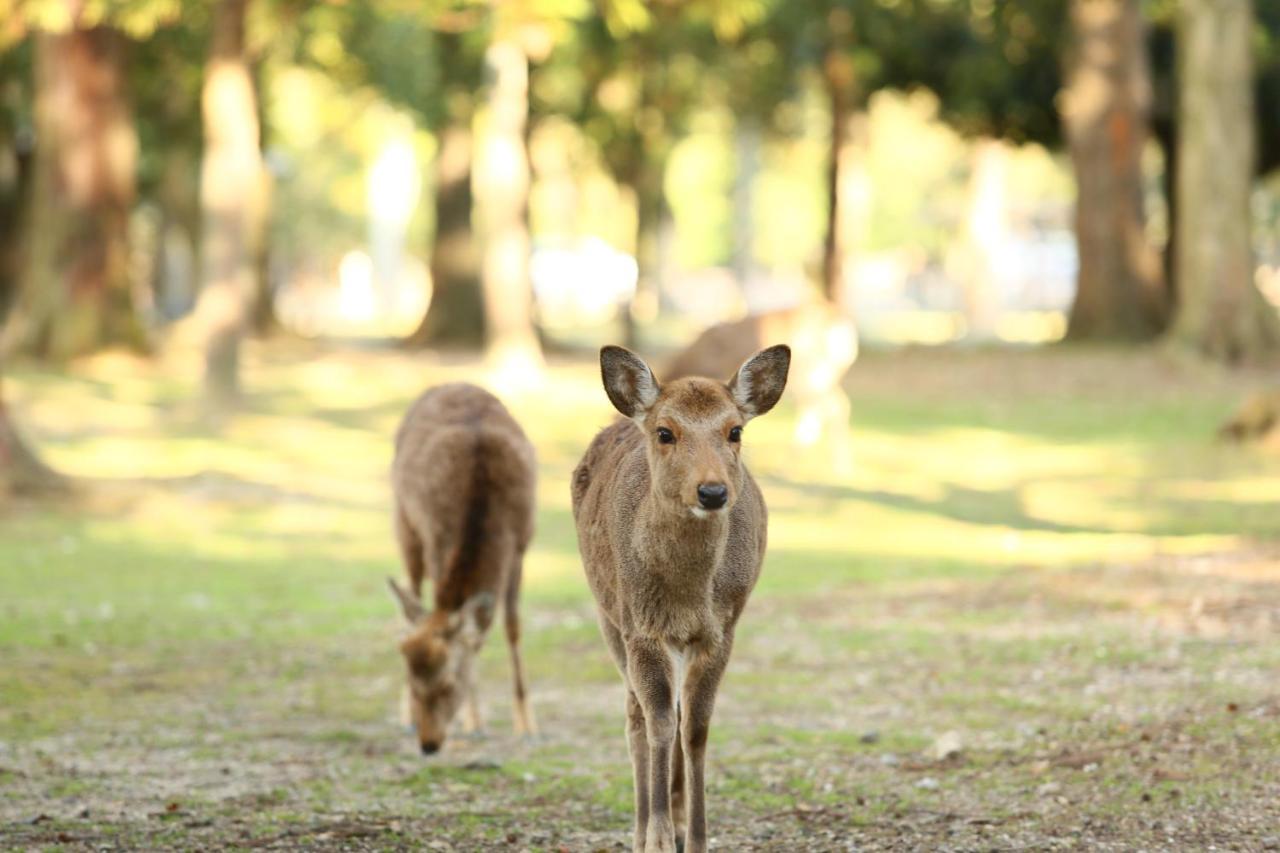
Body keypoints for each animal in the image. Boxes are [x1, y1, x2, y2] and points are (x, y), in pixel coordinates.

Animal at [384, 379, 535, 753]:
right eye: (412, 679)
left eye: (449, 684)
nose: (429, 743)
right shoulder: (436, 538)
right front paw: (476, 723)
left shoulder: (520, 546)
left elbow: (510, 627)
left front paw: (526, 726)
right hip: (405, 524)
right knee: (410, 596)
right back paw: (405, 719)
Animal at [573, 343, 788, 845]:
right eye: (666, 432)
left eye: (735, 431)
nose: (712, 491)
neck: (687, 598)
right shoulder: (640, 628)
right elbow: (659, 723)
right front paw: (656, 839)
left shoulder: (722, 629)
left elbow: (696, 727)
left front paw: (696, 838)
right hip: (607, 613)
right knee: (635, 716)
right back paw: (641, 830)